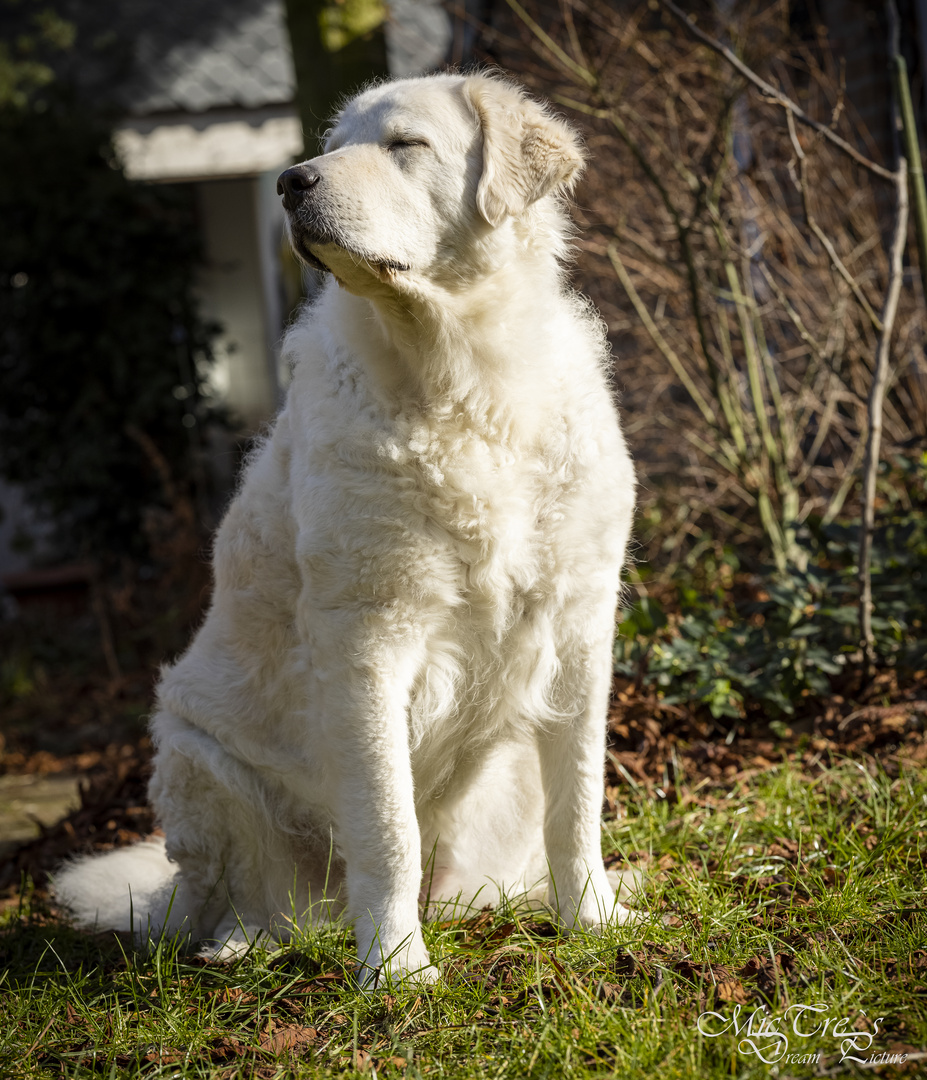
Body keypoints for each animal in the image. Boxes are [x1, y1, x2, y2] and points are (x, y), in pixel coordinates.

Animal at [55, 71, 635, 984]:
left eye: (405, 144)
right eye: (330, 146)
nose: (290, 182)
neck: (463, 377)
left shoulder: (579, 625)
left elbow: (576, 805)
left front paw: (595, 921)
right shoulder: (367, 639)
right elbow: (387, 829)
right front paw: (396, 971)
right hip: (193, 752)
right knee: (249, 899)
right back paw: (242, 941)